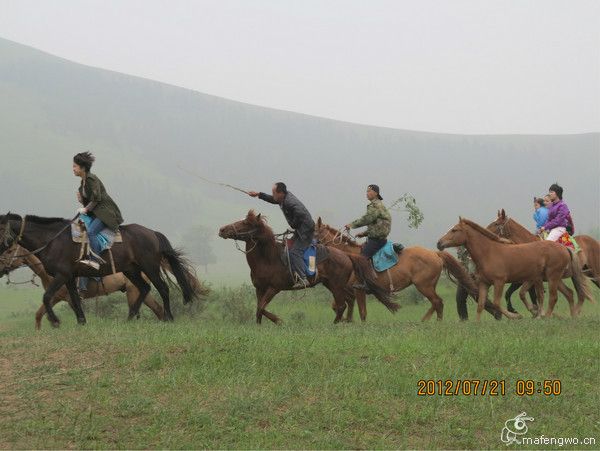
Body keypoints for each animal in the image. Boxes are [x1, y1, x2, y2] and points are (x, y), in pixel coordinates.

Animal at [0, 214, 202, 326]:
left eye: (9, 250)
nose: (1, 268)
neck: (52, 241)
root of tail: (152, 233)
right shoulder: (70, 278)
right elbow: (70, 302)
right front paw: (81, 322)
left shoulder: (62, 277)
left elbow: (46, 298)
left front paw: (56, 321)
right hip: (131, 271)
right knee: (145, 289)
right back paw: (129, 318)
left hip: (149, 268)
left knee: (162, 289)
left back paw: (168, 317)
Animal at [218, 210, 396, 324]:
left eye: (245, 223)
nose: (222, 229)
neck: (268, 258)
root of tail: (346, 255)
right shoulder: (259, 288)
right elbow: (258, 309)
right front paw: (259, 326)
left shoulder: (274, 288)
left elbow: (261, 307)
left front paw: (279, 320)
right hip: (330, 284)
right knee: (346, 302)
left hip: (336, 285)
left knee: (341, 305)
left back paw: (335, 325)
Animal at [314, 218, 502, 322]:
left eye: (315, 232)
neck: (349, 256)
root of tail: (435, 253)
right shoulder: (349, 291)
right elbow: (339, 305)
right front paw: (345, 321)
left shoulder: (358, 290)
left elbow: (361, 312)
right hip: (428, 286)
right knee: (435, 303)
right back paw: (425, 321)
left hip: (423, 285)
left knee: (438, 302)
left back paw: (434, 322)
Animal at [438, 217, 592, 320]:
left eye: (455, 230)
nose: (439, 243)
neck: (489, 252)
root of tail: (564, 248)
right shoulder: (484, 283)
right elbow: (481, 304)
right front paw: (477, 324)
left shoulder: (500, 282)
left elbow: (497, 303)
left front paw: (515, 315)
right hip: (554, 278)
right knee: (569, 293)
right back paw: (571, 317)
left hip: (553, 276)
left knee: (554, 297)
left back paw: (546, 317)